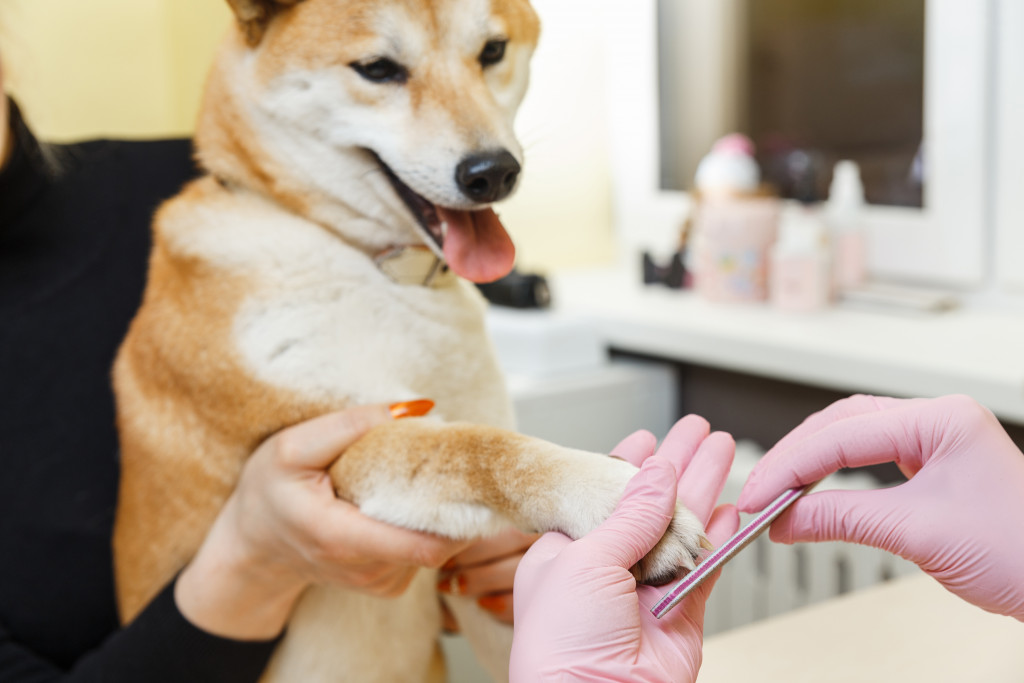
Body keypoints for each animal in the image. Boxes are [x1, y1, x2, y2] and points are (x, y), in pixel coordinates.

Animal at [110, 1, 704, 679]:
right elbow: (485, 448)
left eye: (492, 51)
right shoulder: (338, 439)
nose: (492, 171)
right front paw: (619, 501)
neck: (372, 264)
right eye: (377, 68)